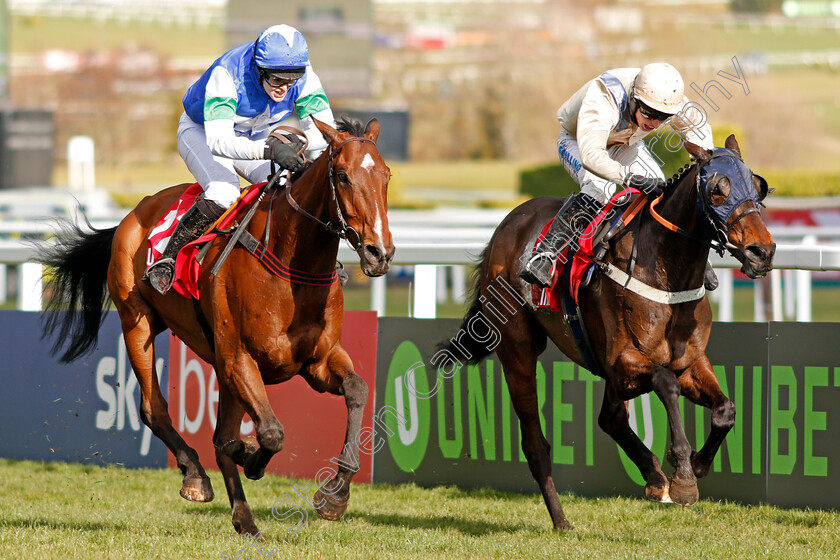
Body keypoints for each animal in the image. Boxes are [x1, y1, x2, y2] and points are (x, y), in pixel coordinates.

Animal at [38, 116, 394, 536]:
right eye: (342, 176)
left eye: (386, 176)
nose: (379, 252)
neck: (294, 267)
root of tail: (134, 213)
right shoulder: (238, 357)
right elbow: (269, 434)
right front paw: (251, 454)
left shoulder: (317, 361)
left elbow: (357, 390)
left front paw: (336, 493)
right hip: (138, 324)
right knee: (154, 409)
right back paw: (197, 476)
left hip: (222, 370)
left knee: (221, 433)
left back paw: (245, 518)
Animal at [440, 135, 776, 528]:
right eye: (717, 191)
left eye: (757, 186)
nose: (762, 251)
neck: (666, 271)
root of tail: (505, 226)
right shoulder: (623, 362)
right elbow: (666, 383)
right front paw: (682, 477)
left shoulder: (689, 362)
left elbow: (725, 410)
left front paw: (697, 465)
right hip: (517, 349)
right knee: (536, 444)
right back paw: (562, 520)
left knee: (611, 418)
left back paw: (652, 476)